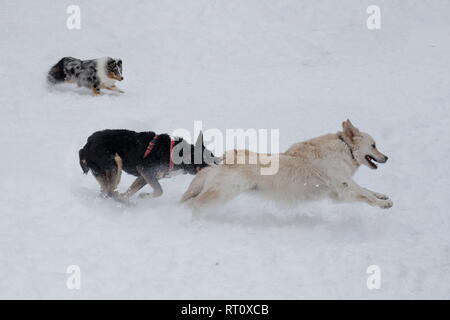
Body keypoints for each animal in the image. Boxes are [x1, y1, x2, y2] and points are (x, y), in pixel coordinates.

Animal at [79, 128, 220, 201]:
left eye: (212, 154)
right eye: (206, 160)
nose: (220, 162)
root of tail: (85, 146)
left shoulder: (144, 176)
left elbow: (131, 191)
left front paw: (128, 197)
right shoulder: (146, 170)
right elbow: (159, 191)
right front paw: (144, 196)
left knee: (106, 191)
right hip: (115, 163)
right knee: (110, 191)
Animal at [181, 119, 392, 210]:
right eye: (374, 145)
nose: (387, 157)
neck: (345, 149)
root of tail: (220, 158)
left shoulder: (338, 191)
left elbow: (366, 190)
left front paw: (381, 195)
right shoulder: (342, 184)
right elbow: (364, 193)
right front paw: (383, 203)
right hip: (224, 191)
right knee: (197, 203)